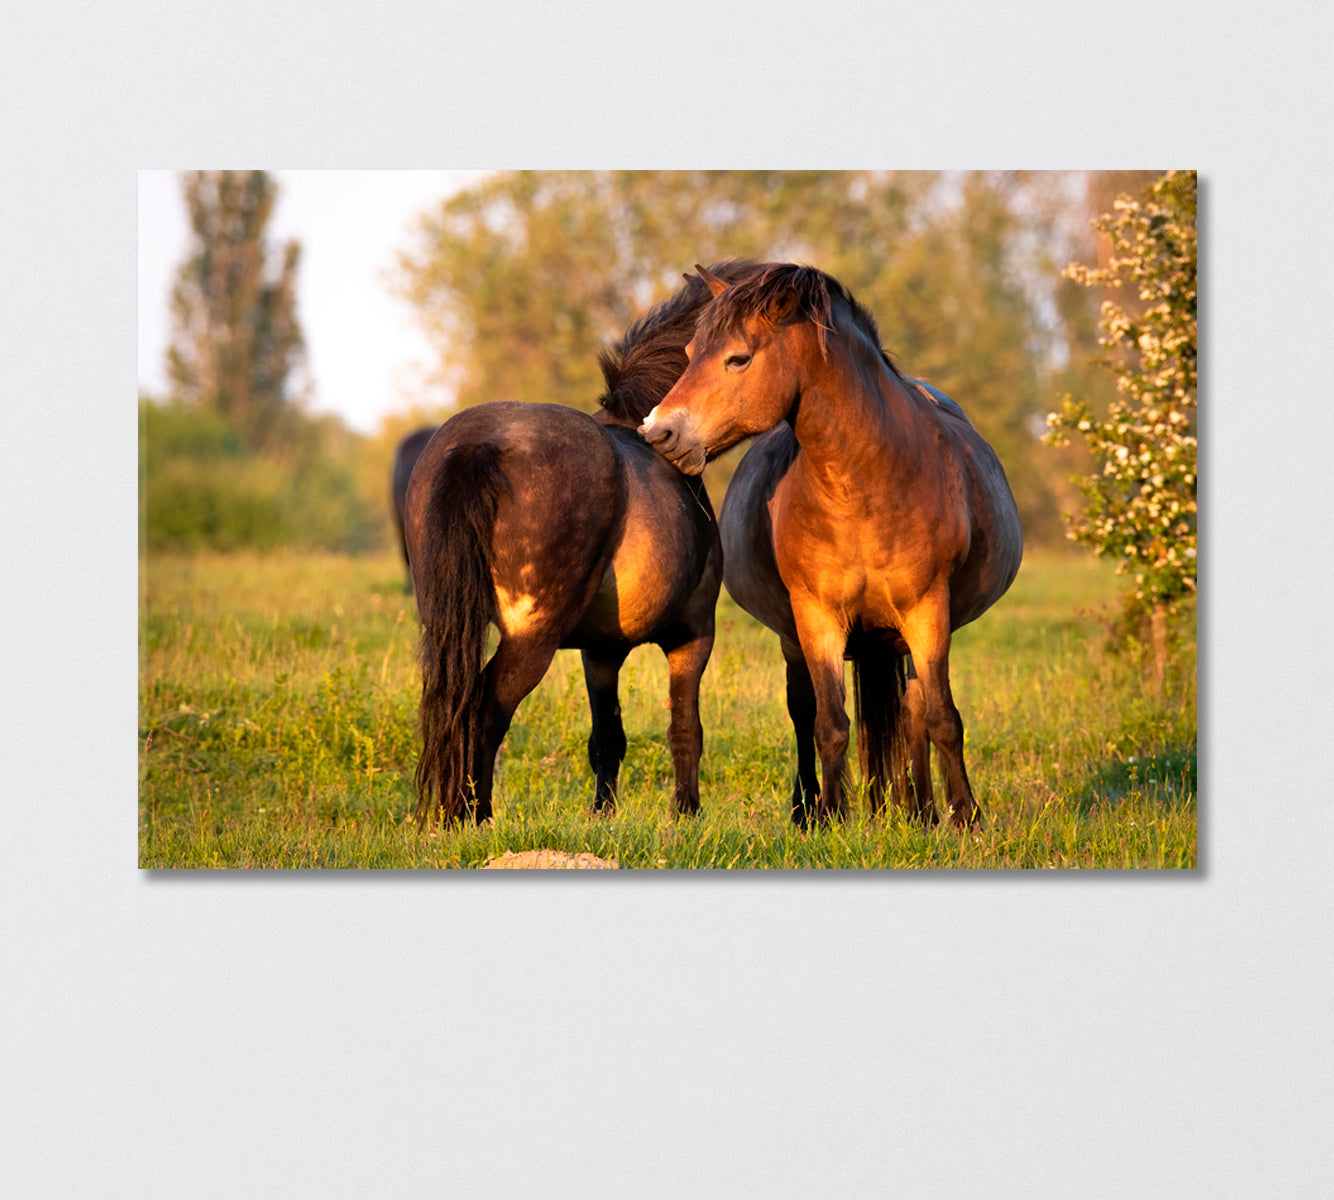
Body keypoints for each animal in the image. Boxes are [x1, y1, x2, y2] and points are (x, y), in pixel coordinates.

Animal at [400, 262, 763, 826]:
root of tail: (481, 445)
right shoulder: (694, 633)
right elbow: (686, 729)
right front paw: (686, 814)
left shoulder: (601, 651)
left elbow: (607, 739)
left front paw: (603, 816)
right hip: (532, 637)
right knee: (485, 708)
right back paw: (474, 816)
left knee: (457, 704)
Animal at [634, 261, 1019, 826]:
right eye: (688, 353)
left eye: (738, 358)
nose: (657, 432)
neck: (867, 484)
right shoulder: (816, 617)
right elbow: (829, 723)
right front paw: (832, 818)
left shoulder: (929, 610)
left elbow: (943, 720)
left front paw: (966, 817)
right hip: (796, 638)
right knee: (805, 710)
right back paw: (810, 808)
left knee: (915, 713)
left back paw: (923, 811)